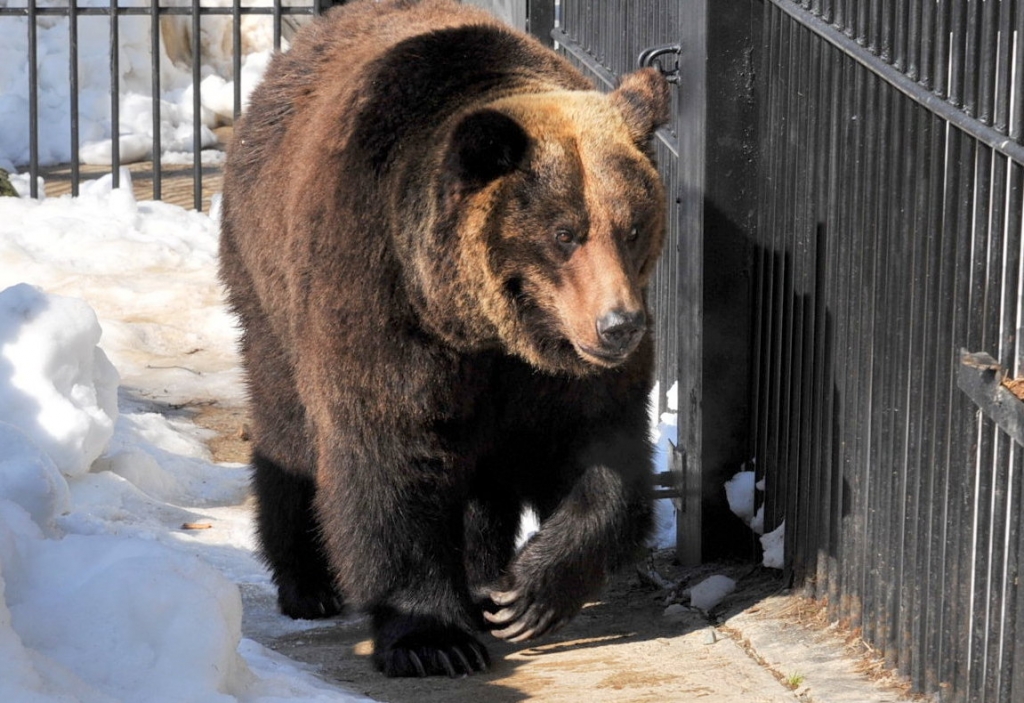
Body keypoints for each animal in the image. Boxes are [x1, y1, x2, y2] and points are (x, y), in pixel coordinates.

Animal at [220, 0, 671, 679]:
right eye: (565, 232)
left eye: (633, 226)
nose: (618, 324)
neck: (480, 326)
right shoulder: (385, 303)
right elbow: (392, 457)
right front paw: (432, 638)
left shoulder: (557, 375)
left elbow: (604, 455)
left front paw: (526, 593)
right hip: (268, 279)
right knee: (287, 424)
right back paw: (308, 583)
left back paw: (483, 578)